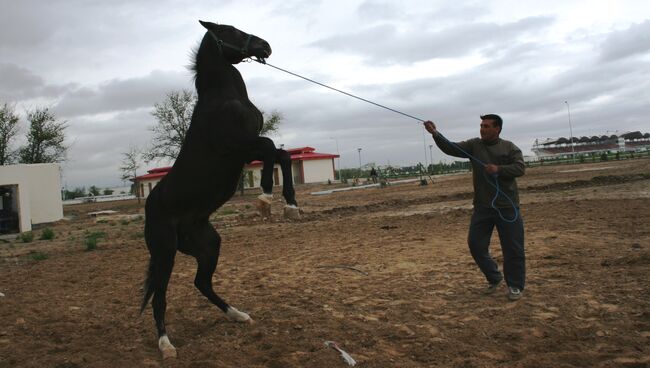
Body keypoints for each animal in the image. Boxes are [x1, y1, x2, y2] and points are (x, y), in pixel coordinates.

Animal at [140, 20, 300, 360]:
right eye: (230, 30)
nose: (265, 46)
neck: (223, 100)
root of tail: (150, 205)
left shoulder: (247, 151)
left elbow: (282, 155)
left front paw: (290, 205)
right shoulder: (239, 147)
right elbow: (272, 149)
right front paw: (265, 199)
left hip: (208, 245)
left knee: (202, 283)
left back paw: (238, 315)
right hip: (164, 252)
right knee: (160, 296)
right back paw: (166, 345)